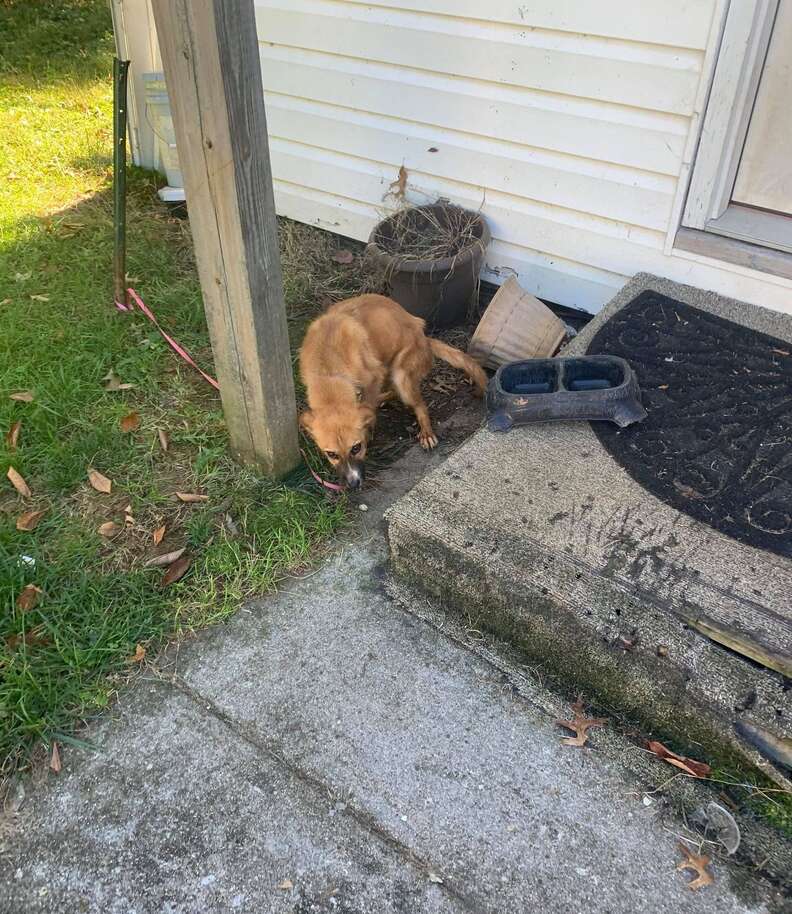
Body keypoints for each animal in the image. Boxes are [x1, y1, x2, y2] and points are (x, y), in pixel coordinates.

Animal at [302, 296, 488, 488]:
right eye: (332, 454)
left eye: (356, 448)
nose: (353, 484)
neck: (329, 371)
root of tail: (424, 339)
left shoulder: (373, 378)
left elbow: (370, 407)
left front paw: (369, 430)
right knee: (392, 391)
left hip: (401, 375)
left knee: (419, 403)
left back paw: (426, 432)